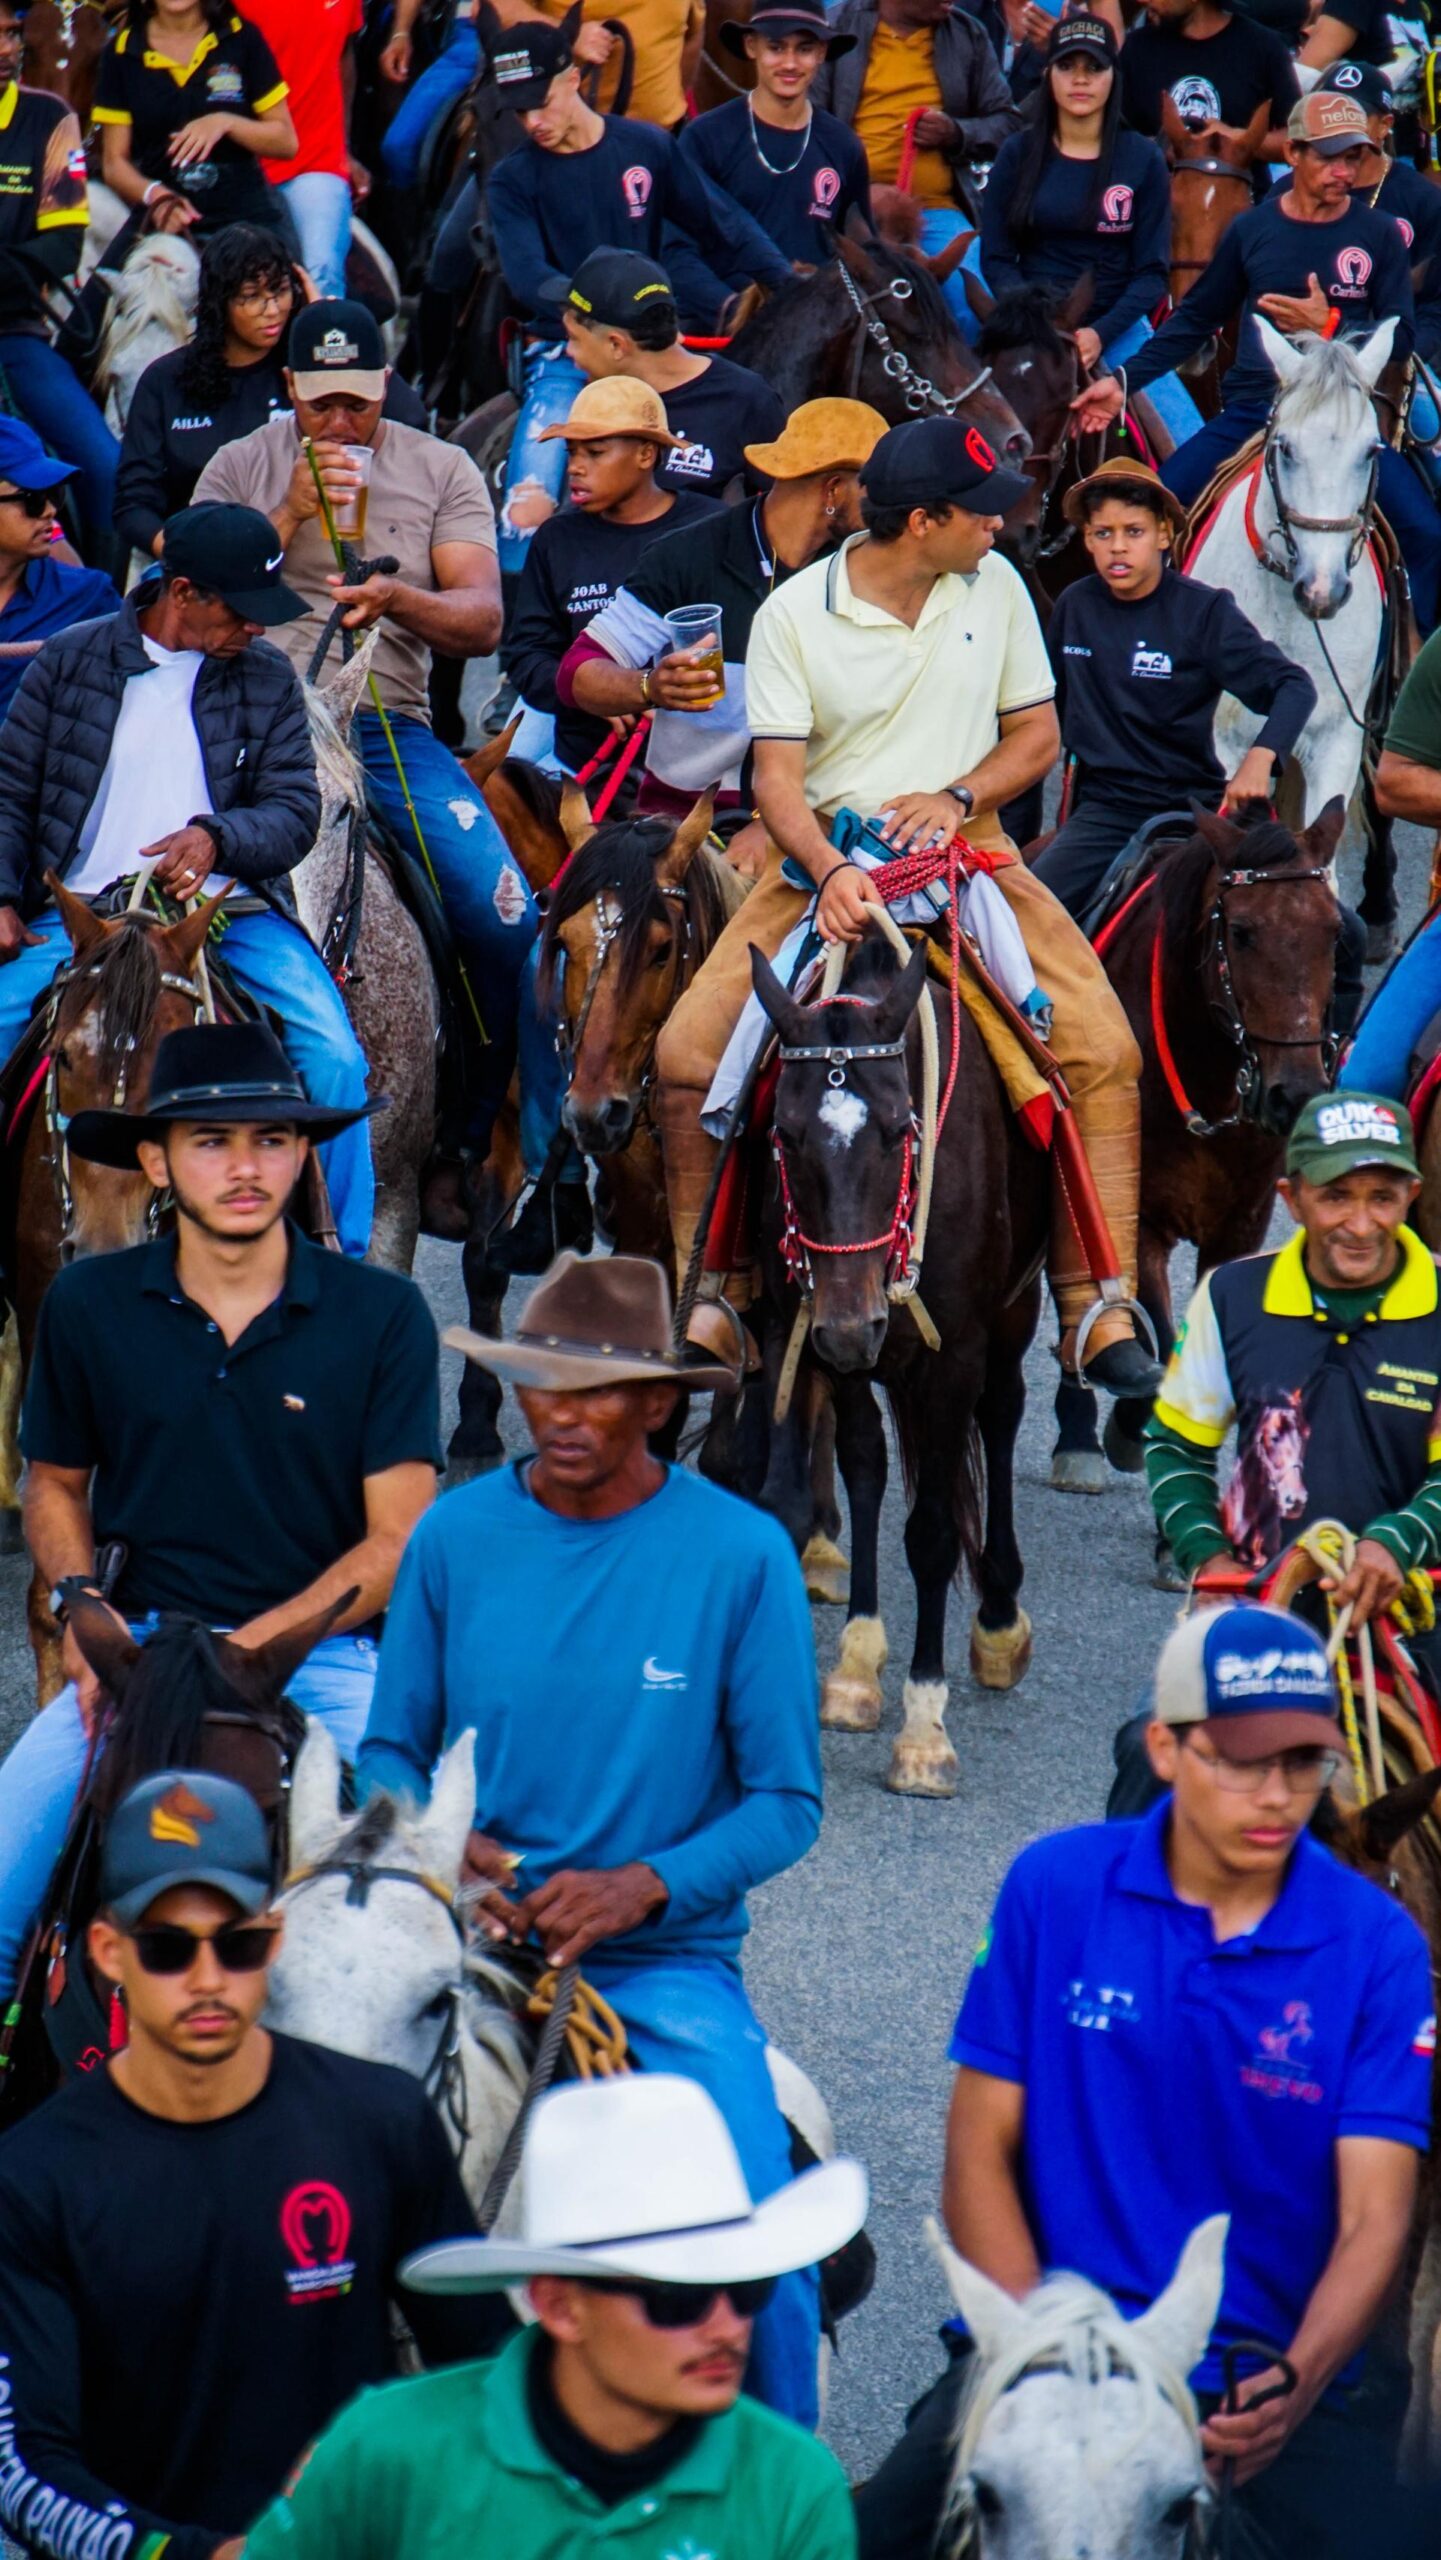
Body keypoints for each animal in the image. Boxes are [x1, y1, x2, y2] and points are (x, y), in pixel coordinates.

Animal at [749, 928, 1048, 1796]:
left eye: (895, 1129)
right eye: (784, 1135)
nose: (855, 1327)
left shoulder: (952, 1355)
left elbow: (934, 1532)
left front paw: (922, 1727)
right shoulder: (819, 1336)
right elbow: (857, 1471)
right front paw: (854, 1665)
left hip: (1013, 1311)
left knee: (1003, 1414)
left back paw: (997, 1619)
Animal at [1050, 802, 1343, 1503]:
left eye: (1331, 933)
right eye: (1241, 932)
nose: (1294, 1094)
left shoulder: (1240, 1227)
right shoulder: (1140, 1221)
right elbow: (1158, 1330)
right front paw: (1128, 1427)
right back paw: (1079, 1432)